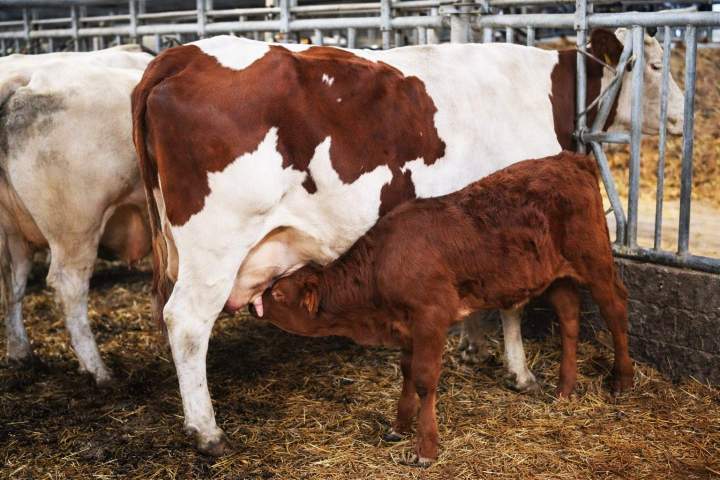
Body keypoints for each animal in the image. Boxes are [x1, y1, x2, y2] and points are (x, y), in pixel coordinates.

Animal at [0, 46, 153, 385]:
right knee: (68, 285)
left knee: (13, 283)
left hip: (14, 229)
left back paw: (21, 354)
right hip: (76, 226)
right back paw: (98, 371)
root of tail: (24, 84)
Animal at [252, 151, 632, 465]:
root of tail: (570, 158)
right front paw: (399, 426)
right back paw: (564, 389)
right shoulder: (406, 325)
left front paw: (425, 448)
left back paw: (620, 380)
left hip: (595, 258)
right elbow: (406, 371)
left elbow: (424, 379)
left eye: (279, 294)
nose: (255, 304)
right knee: (569, 317)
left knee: (615, 307)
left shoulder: (431, 316)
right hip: (556, 274)